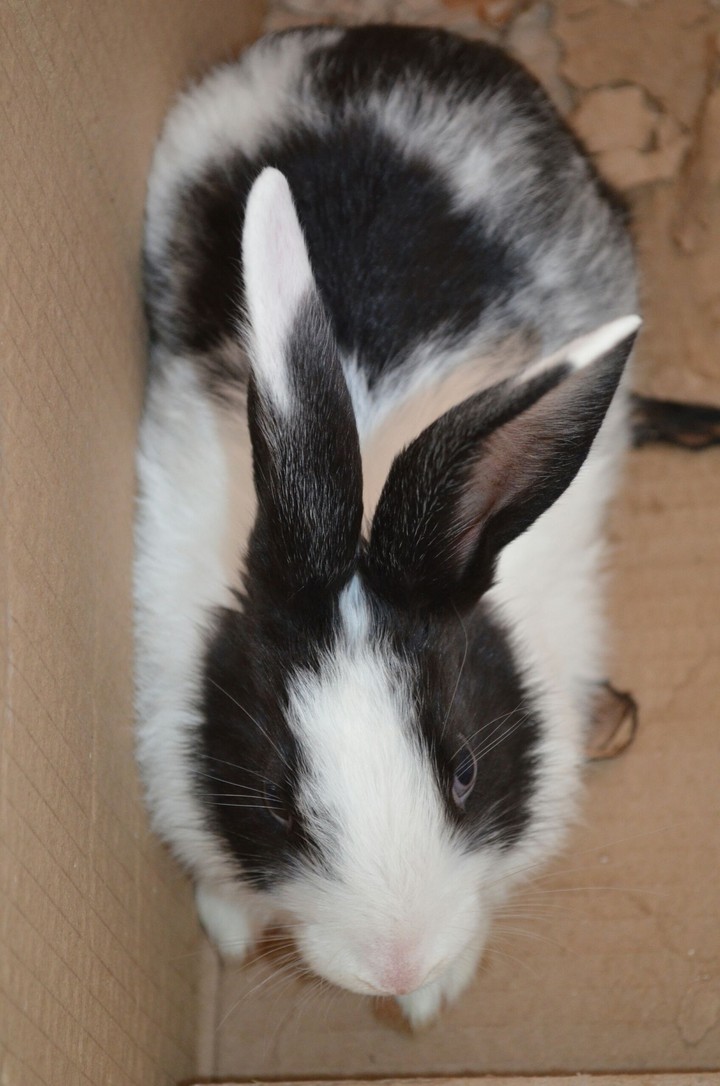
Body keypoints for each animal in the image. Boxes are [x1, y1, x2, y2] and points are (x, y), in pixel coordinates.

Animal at [134, 24, 640, 1028]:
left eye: (464, 773)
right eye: (280, 802)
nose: (398, 967)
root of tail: (395, 38)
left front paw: (434, 995)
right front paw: (232, 930)